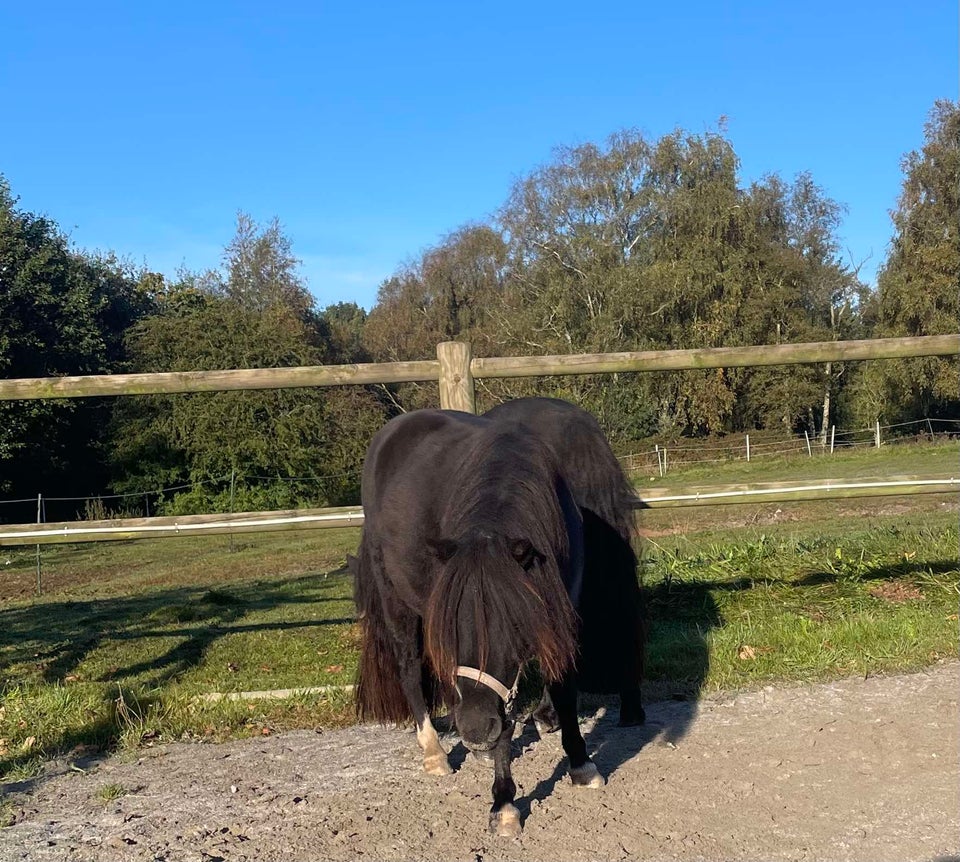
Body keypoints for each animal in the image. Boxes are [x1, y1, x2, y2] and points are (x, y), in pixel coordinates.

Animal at [352, 398, 644, 836]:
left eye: (514, 625)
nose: (474, 731)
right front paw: (504, 802)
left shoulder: (560, 614)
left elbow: (561, 686)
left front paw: (580, 764)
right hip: (395, 602)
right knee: (409, 669)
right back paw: (435, 752)